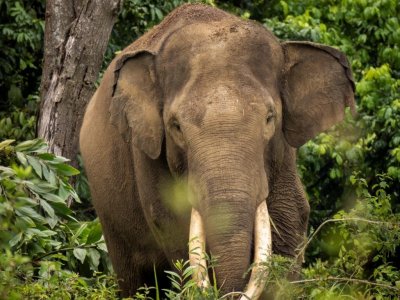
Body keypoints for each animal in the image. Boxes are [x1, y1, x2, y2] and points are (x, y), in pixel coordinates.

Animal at [79, 2, 354, 298]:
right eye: (176, 126)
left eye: (270, 118)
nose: (232, 292)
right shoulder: (147, 155)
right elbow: (173, 227)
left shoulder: (283, 156)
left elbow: (292, 216)